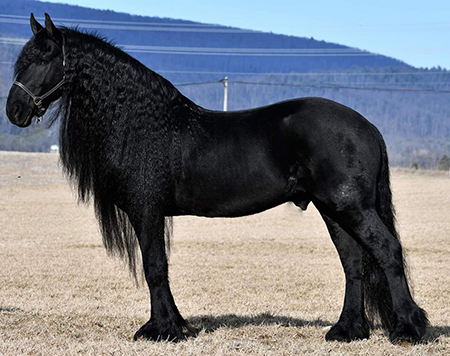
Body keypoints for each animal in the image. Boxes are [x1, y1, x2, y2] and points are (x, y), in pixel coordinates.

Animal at [7, 14, 428, 344]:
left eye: (43, 58)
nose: (15, 110)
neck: (142, 123)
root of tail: (368, 127)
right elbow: (158, 267)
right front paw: (175, 325)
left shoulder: (147, 211)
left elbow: (154, 267)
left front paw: (161, 330)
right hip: (334, 210)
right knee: (353, 262)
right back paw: (347, 330)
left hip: (351, 207)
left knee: (387, 250)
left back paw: (408, 329)